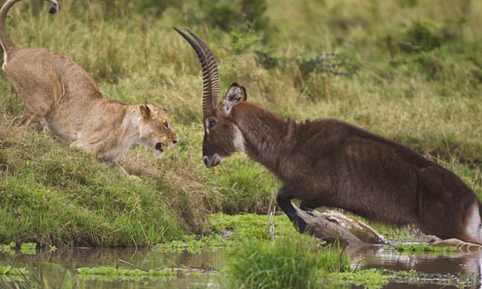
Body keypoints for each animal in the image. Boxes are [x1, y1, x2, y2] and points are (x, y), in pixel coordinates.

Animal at [0, 0, 178, 169]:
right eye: (166, 124)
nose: (176, 140)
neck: (132, 133)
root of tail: (15, 50)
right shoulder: (81, 146)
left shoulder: (112, 160)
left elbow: (129, 175)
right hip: (41, 103)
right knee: (19, 125)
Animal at [175, 26, 482, 243]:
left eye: (211, 122)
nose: (205, 158)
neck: (288, 141)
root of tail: (472, 199)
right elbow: (300, 204)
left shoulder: (310, 185)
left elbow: (283, 198)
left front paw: (307, 227)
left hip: (448, 231)